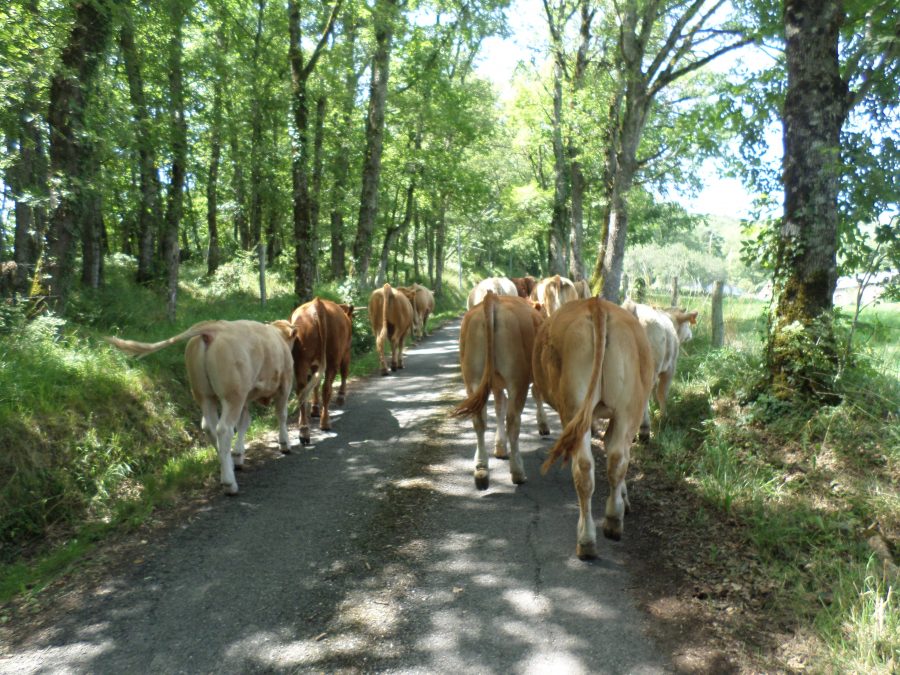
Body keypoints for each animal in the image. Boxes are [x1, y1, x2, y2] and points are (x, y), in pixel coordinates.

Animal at [104, 320, 296, 494]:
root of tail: (213, 327)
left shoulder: (246, 398)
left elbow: (244, 423)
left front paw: (238, 454)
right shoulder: (284, 384)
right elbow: (281, 414)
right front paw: (284, 443)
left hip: (205, 395)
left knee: (209, 427)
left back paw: (227, 465)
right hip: (232, 395)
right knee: (224, 429)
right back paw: (229, 483)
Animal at [292, 298, 356, 446]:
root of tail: (318, 303)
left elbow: (314, 385)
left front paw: (315, 408)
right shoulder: (346, 353)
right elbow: (344, 373)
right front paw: (341, 397)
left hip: (301, 361)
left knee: (302, 390)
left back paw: (304, 430)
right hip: (333, 359)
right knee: (326, 388)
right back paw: (325, 422)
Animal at [450, 294, 548, 488]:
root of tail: (492, 298)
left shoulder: (496, 384)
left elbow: (498, 408)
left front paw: (500, 447)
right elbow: (536, 395)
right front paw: (543, 426)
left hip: (472, 379)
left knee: (479, 420)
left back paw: (481, 469)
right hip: (517, 380)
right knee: (513, 421)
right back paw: (517, 471)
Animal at [536, 298, 652, 560]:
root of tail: (596, 305)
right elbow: (612, 448)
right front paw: (623, 500)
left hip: (574, 408)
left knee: (584, 467)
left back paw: (587, 538)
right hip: (628, 408)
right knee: (617, 459)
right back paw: (612, 521)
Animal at [624, 298, 700, 440]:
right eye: (687, 324)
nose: (691, 335)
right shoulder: (670, 368)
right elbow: (662, 393)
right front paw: (664, 416)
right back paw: (644, 429)